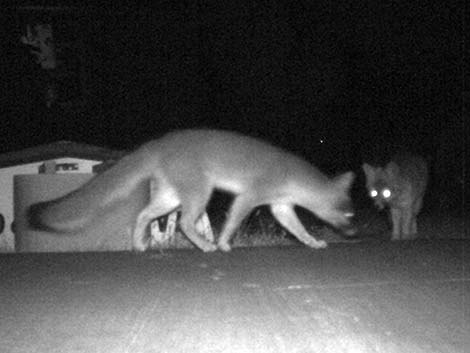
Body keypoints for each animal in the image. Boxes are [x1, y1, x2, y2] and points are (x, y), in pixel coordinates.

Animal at [28, 129, 356, 250]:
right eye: (350, 215)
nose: (354, 233)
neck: (292, 174)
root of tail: (159, 142)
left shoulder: (281, 206)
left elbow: (297, 228)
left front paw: (312, 241)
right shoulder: (249, 197)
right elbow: (233, 222)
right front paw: (223, 242)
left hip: (170, 198)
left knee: (143, 215)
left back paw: (139, 245)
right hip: (199, 193)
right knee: (185, 222)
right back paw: (206, 245)